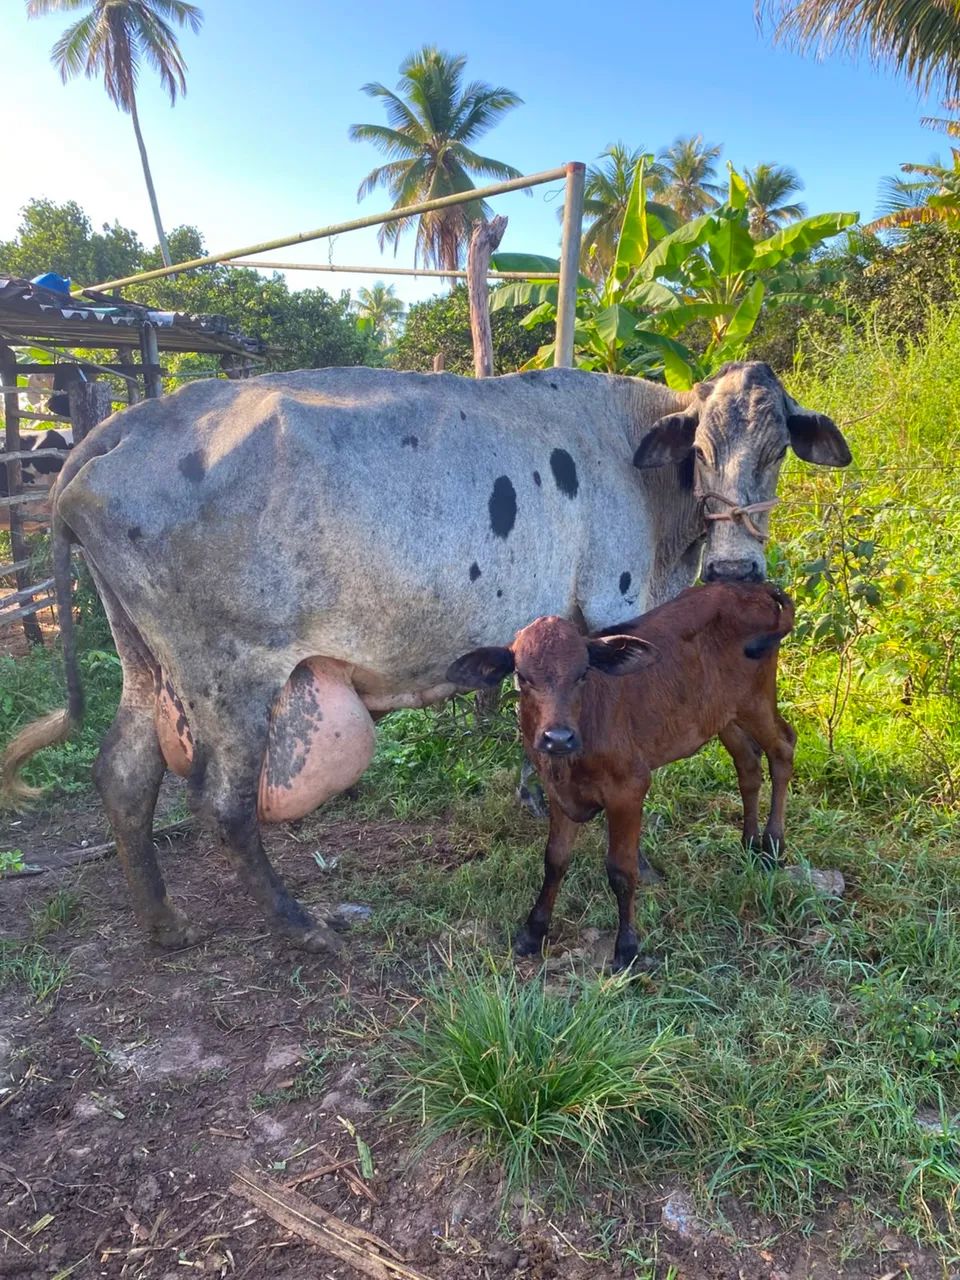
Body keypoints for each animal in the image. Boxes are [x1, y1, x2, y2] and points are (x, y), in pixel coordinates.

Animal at [446, 582, 796, 971]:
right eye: (523, 677)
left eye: (583, 673)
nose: (558, 738)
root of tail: (754, 588)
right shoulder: (559, 793)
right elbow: (554, 860)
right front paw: (533, 931)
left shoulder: (629, 788)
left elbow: (621, 869)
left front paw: (627, 947)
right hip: (722, 715)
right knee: (748, 764)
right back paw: (749, 842)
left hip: (756, 700)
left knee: (783, 748)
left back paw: (773, 845)